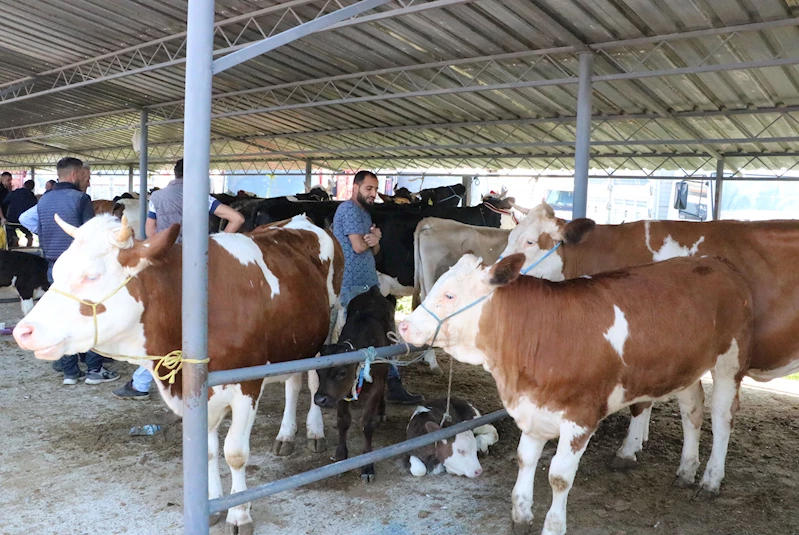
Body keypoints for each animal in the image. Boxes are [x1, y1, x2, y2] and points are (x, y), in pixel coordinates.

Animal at [11, 213, 344, 532]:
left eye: (91, 276)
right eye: (56, 272)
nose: (22, 332)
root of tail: (301, 219)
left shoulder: (246, 385)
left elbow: (235, 453)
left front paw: (239, 515)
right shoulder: (198, 393)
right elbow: (207, 452)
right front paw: (212, 505)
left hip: (324, 331)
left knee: (313, 379)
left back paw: (315, 431)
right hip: (294, 341)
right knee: (293, 381)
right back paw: (286, 434)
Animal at [314, 286, 398, 484]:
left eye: (342, 373)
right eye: (318, 372)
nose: (319, 399)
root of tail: (374, 291)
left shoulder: (375, 386)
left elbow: (367, 424)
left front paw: (367, 465)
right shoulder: (342, 393)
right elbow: (343, 421)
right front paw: (340, 457)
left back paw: (381, 412)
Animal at [400, 254, 756, 535]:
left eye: (449, 295)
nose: (403, 326)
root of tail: (718, 263)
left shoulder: (580, 416)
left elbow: (558, 477)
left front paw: (553, 526)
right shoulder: (533, 408)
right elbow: (525, 459)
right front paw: (521, 516)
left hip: (729, 362)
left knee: (722, 419)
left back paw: (710, 480)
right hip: (684, 369)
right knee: (692, 411)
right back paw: (686, 470)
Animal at [504, 205, 799, 468]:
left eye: (530, 241)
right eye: (508, 237)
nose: (498, 273)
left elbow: (641, 404)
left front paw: (629, 449)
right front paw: (641, 440)